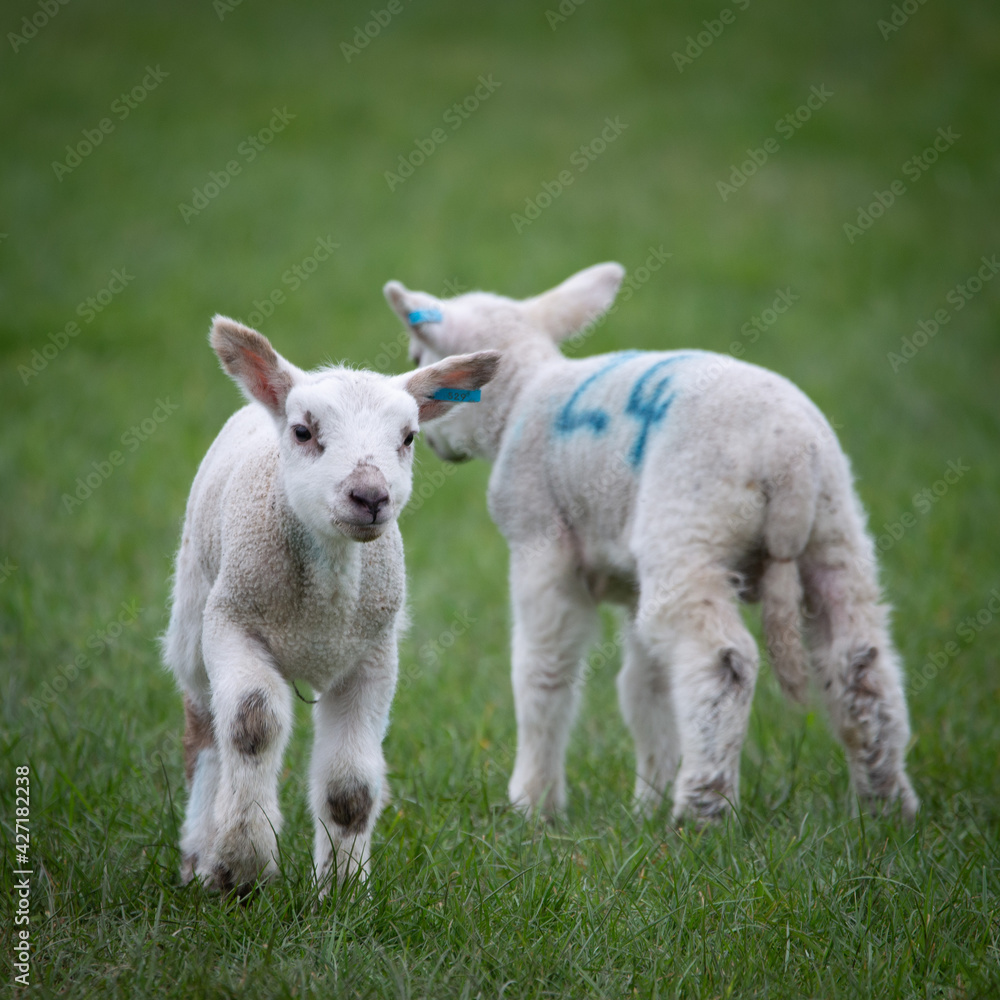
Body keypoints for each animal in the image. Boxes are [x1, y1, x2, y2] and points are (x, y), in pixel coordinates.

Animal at [163, 316, 500, 896]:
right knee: (204, 727)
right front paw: (242, 864)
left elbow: (350, 785)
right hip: (193, 612)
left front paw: (344, 889)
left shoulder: (372, 655)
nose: (370, 497)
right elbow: (253, 724)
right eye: (304, 432)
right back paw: (198, 854)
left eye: (408, 438)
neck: (324, 602)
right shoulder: (233, 623)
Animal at [386, 262, 916, 824]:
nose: (434, 443)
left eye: (418, 361)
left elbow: (543, 671)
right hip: (832, 532)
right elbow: (646, 688)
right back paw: (886, 803)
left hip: (690, 528)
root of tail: (788, 459)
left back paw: (703, 809)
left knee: (721, 661)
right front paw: (647, 800)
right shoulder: (635, 578)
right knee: (858, 658)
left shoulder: (540, 542)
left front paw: (534, 804)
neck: (523, 395)